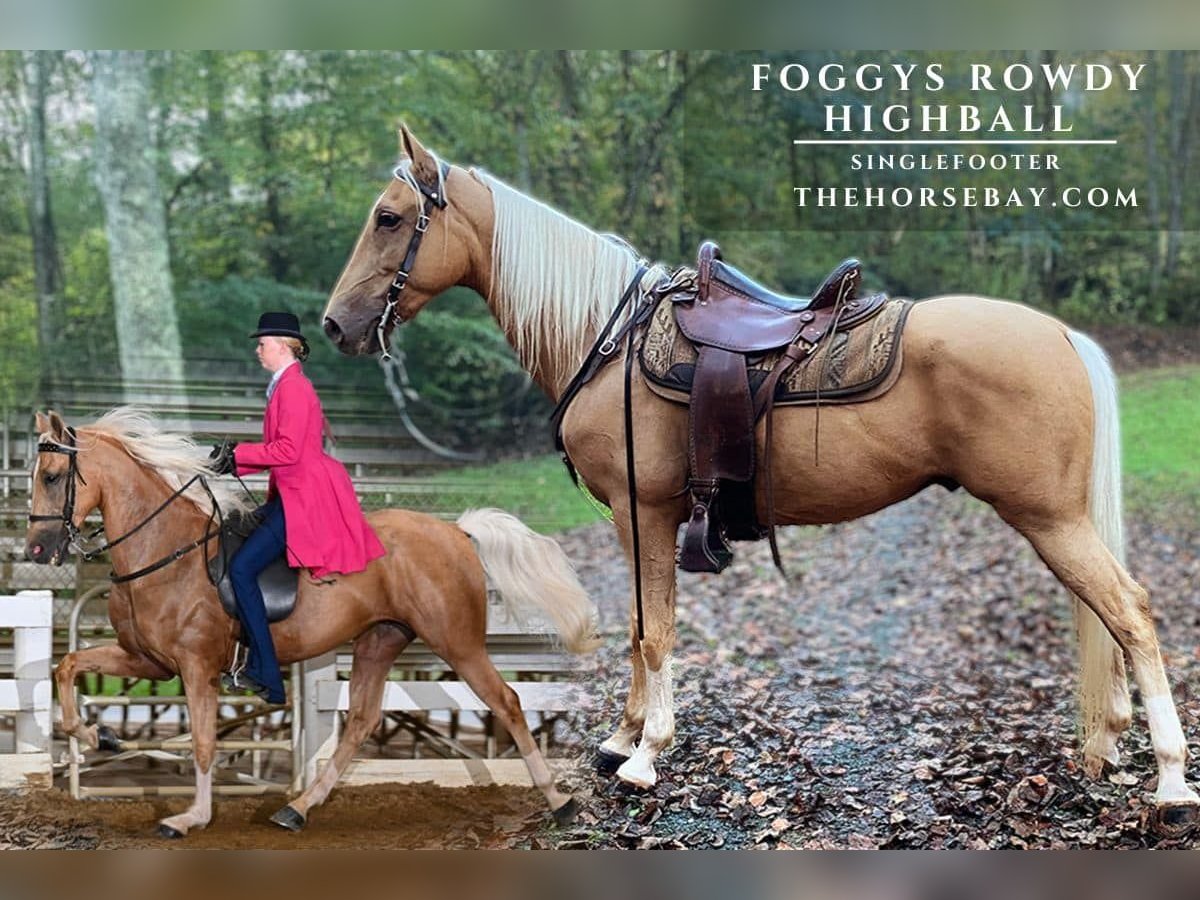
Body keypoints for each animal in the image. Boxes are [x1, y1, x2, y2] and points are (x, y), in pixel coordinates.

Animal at [24, 407, 593, 838]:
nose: (35, 550)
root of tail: (454, 530)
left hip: (458, 643)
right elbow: (67, 667)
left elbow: (205, 742)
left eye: (52, 477)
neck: (165, 550)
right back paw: (296, 809)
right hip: (380, 640)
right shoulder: (146, 660)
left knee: (508, 702)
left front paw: (191, 818)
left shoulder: (195, 667)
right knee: (361, 721)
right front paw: (98, 737)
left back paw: (560, 802)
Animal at [319, 125, 1200, 834]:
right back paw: (1108, 742)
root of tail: (1062, 335)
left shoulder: (643, 510)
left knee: (1131, 613)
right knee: (1105, 616)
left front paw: (647, 756)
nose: (334, 325)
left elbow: (654, 631)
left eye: (389, 218)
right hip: (1056, 520)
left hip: (1051, 519)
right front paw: (619, 738)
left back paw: (1169, 780)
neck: (607, 338)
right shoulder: (636, 519)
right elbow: (638, 629)